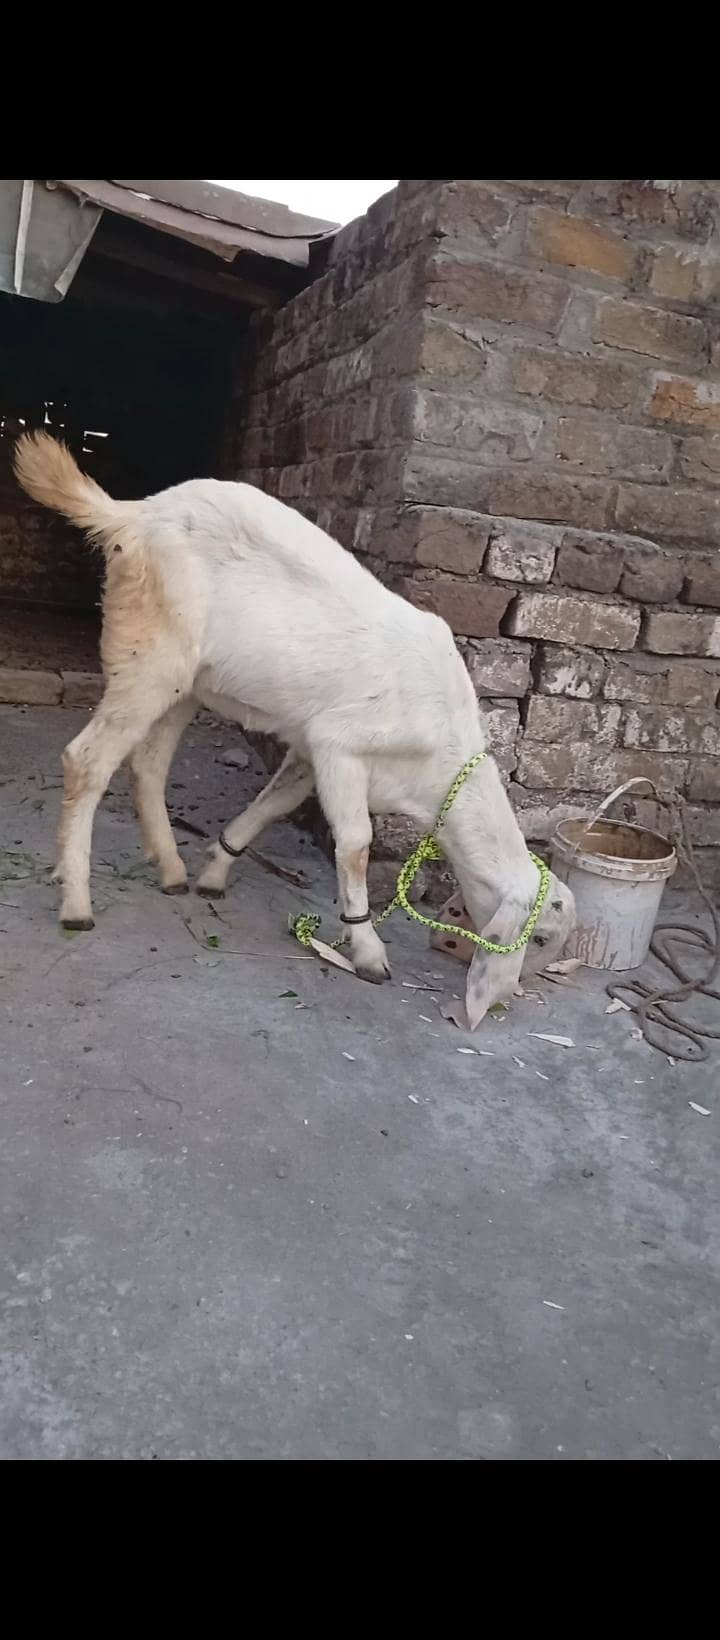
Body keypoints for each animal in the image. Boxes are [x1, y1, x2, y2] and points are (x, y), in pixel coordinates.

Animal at [14, 432, 575, 1026]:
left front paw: (217, 870)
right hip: (150, 656)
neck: (438, 764)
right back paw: (76, 902)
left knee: (147, 765)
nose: (510, 995)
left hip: (184, 685)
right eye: (540, 938)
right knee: (88, 759)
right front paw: (367, 951)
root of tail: (131, 515)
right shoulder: (341, 746)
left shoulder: (309, 751)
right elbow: (355, 845)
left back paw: (171, 870)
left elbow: (273, 805)